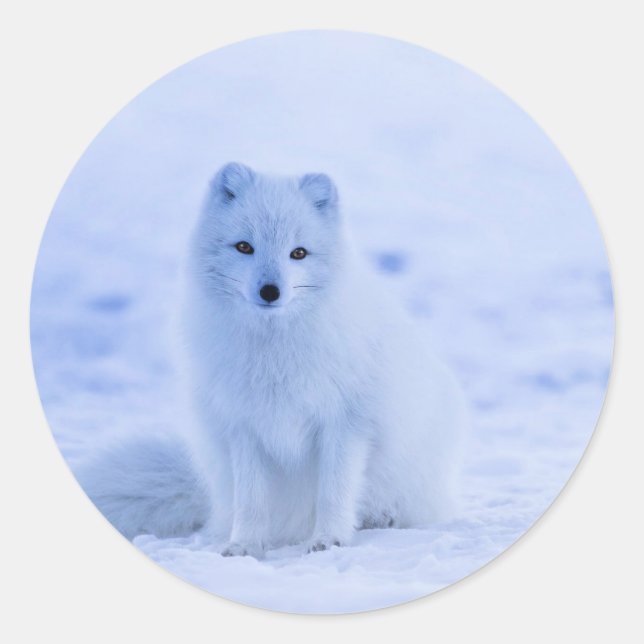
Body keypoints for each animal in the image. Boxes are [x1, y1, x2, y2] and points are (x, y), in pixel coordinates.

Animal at [76, 162, 467, 557]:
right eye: (244, 246)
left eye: (299, 253)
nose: (269, 291)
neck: (274, 352)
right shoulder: (244, 426)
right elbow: (251, 500)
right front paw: (245, 545)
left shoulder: (346, 423)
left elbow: (334, 492)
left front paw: (329, 540)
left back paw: (381, 518)